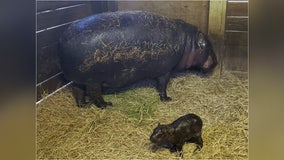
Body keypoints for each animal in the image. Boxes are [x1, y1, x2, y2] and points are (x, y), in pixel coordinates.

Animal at [58, 10, 217, 108]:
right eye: (208, 46)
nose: (216, 62)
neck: (189, 43)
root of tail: (61, 42)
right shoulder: (165, 71)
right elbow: (162, 86)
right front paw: (167, 99)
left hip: (78, 79)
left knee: (78, 91)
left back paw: (83, 105)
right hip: (93, 81)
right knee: (94, 95)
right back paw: (107, 105)